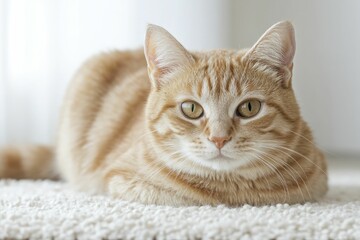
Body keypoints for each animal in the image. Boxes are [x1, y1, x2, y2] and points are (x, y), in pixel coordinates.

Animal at [0, 21, 328, 206]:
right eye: (191, 109)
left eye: (249, 108)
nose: (219, 139)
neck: (232, 191)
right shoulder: (120, 179)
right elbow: (183, 197)